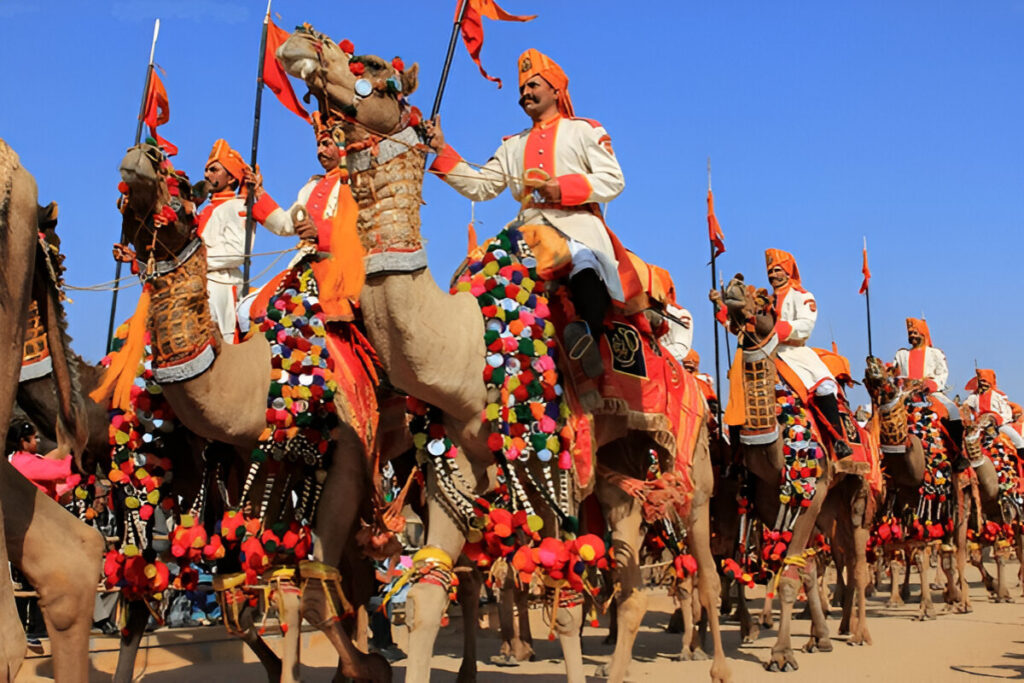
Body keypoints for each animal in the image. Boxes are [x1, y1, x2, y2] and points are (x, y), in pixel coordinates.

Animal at [276, 26, 733, 683]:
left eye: (372, 67)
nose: (301, 42)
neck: (468, 352)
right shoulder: (452, 467)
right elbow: (427, 597)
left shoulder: (554, 461)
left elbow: (564, 608)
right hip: (619, 469)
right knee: (628, 579)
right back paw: (619, 668)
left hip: (691, 459)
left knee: (704, 567)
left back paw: (718, 663)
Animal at [712, 274, 880, 671]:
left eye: (764, 298)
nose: (734, 286)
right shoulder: (769, 499)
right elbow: (793, 567)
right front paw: (803, 643)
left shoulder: (811, 490)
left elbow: (789, 576)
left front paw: (781, 655)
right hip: (826, 508)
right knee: (821, 562)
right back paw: (822, 638)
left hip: (854, 496)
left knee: (857, 560)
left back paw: (858, 633)